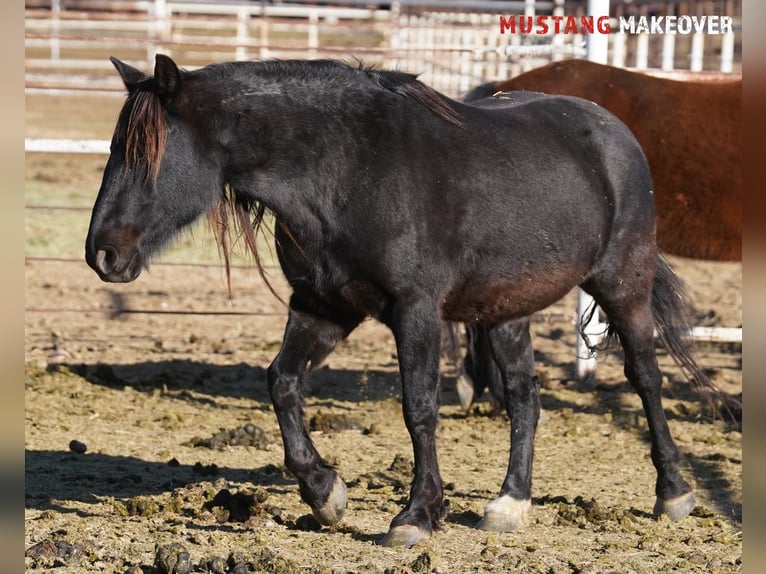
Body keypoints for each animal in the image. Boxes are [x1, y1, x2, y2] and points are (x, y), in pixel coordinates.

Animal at [87, 55, 716, 548]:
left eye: (146, 154)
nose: (102, 253)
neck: (344, 169)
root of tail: (614, 132)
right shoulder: (323, 306)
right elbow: (281, 382)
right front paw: (324, 492)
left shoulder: (415, 312)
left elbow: (419, 409)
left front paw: (415, 515)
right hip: (506, 310)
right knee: (524, 396)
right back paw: (509, 503)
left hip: (622, 284)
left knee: (645, 376)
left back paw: (673, 493)